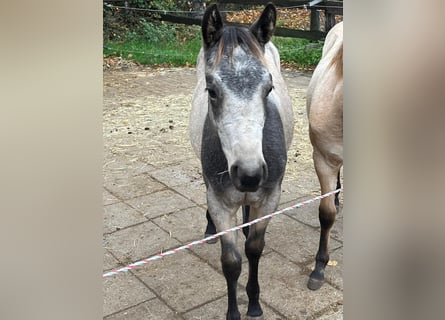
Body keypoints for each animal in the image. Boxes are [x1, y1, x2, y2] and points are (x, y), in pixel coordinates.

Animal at [189, 3, 294, 320]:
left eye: (269, 88)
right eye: (211, 90)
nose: (249, 175)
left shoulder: (269, 198)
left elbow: (254, 249)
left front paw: (255, 304)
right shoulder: (221, 203)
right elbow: (232, 261)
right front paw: (234, 312)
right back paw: (210, 229)